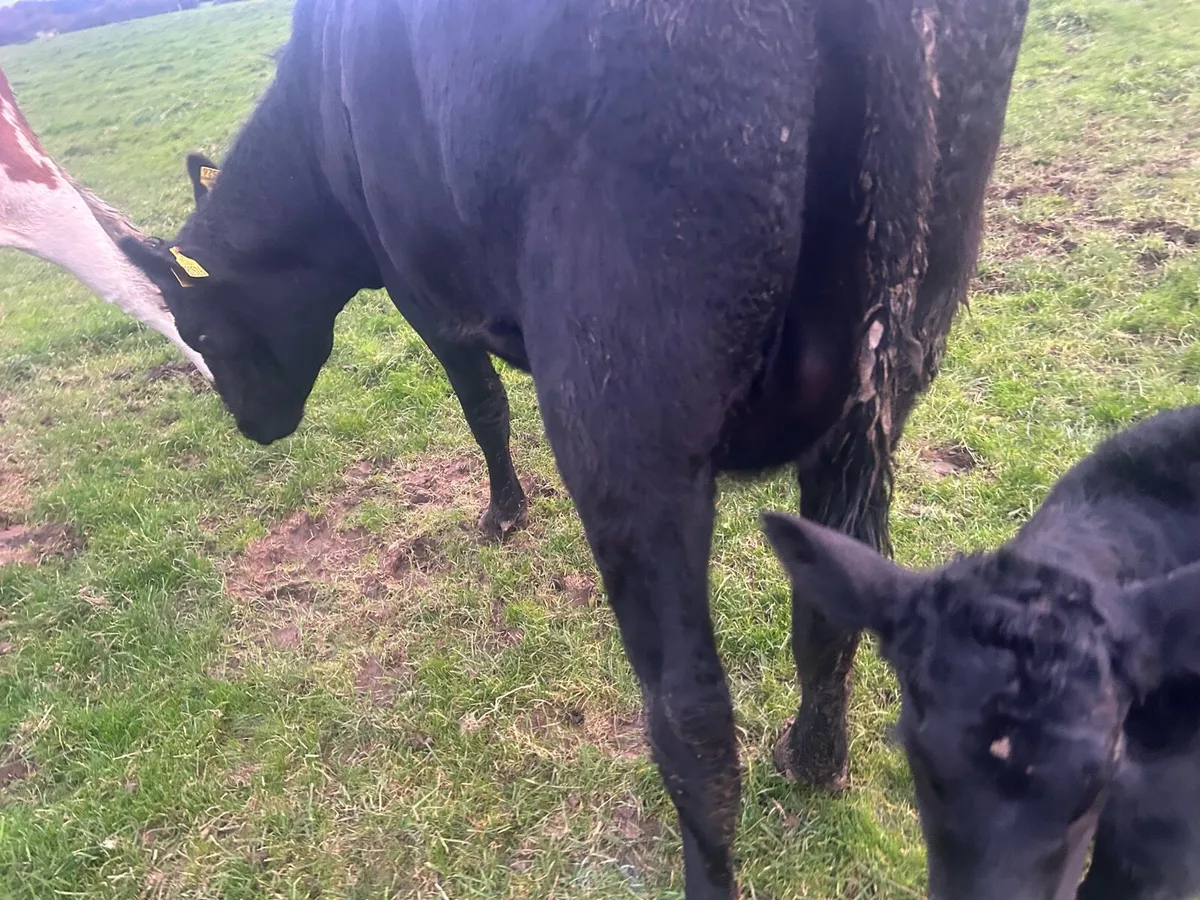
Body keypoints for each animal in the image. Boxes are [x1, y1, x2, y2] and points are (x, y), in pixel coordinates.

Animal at [117, 0, 1029, 895]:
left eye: (197, 330)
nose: (251, 426)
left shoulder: (427, 296)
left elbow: (482, 406)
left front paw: (502, 513)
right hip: (881, 387)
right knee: (829, 615)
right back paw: (814, 763)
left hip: (623, 420)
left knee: (690, 717)